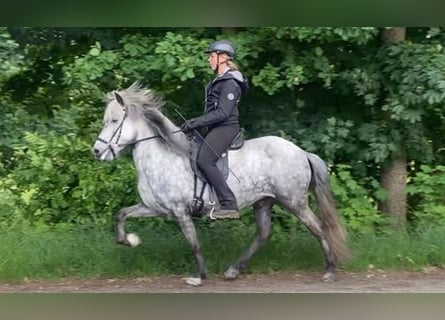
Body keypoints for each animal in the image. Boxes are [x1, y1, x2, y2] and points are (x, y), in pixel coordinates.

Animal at [91, 84, 350, 286]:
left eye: (114, 121)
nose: (97, 151)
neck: (163, 155)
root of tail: (301, 152)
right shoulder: (155, 207)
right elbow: (122, 214)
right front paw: (131, 241)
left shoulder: (180, 211)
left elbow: (193, 243)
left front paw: (199, 276)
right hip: (263, 202)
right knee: (263, 234)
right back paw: (233, 270)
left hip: (294, 202)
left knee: (318, 228)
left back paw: (329, 270)